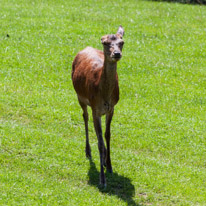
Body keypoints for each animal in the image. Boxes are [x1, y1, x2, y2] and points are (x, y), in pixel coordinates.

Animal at [71, 25, 124, 187]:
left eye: (122, 42)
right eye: (105, 43)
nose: (116, 53)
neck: (104, 95)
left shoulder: (111, 108)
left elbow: (107, 135)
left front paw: (110, 165)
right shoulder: (95, 108)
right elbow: (100, 142)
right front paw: (102, 179)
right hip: (80, 97)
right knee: (85, 117)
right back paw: (88, 151)